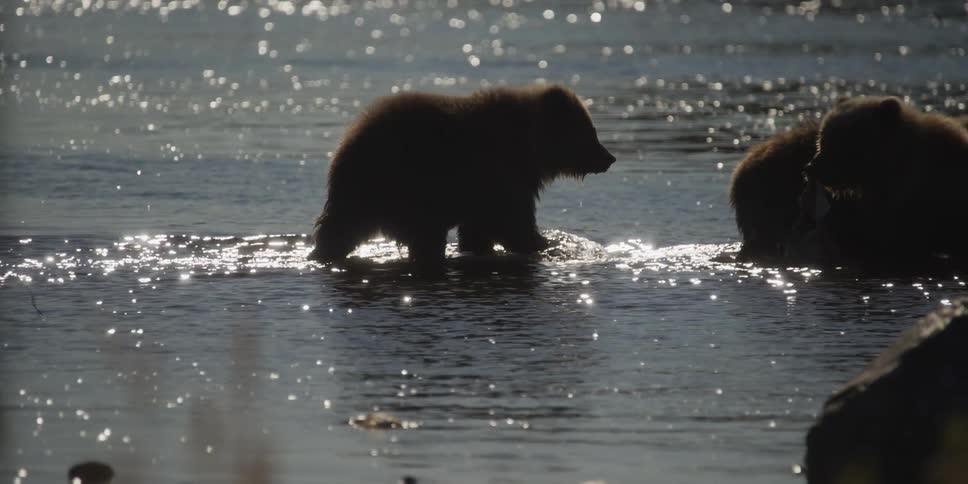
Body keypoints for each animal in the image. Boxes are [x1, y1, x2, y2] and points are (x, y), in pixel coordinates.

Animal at [308, 84, 616, 264]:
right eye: (590, 131)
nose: (609, 158)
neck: (529, 146)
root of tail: (347, 141)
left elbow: (480, 228)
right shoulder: (500, 173)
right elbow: (511, 221)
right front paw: (545, 244)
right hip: (405, 184)